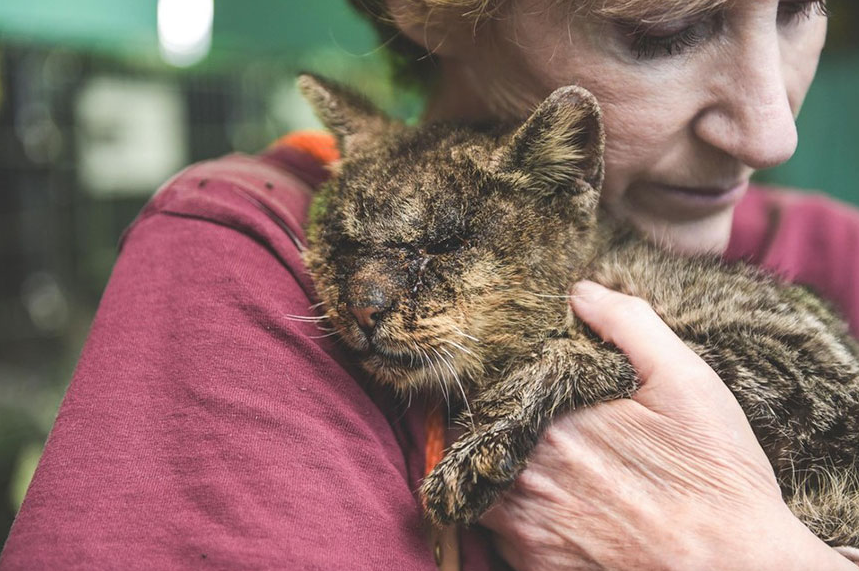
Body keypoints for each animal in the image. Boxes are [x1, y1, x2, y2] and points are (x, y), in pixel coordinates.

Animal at [296, 73, 859, 548]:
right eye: (344, 244)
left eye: (445, 245)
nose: (362, 307)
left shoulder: (815, 373)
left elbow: (576, 350)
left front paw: (478, 450)